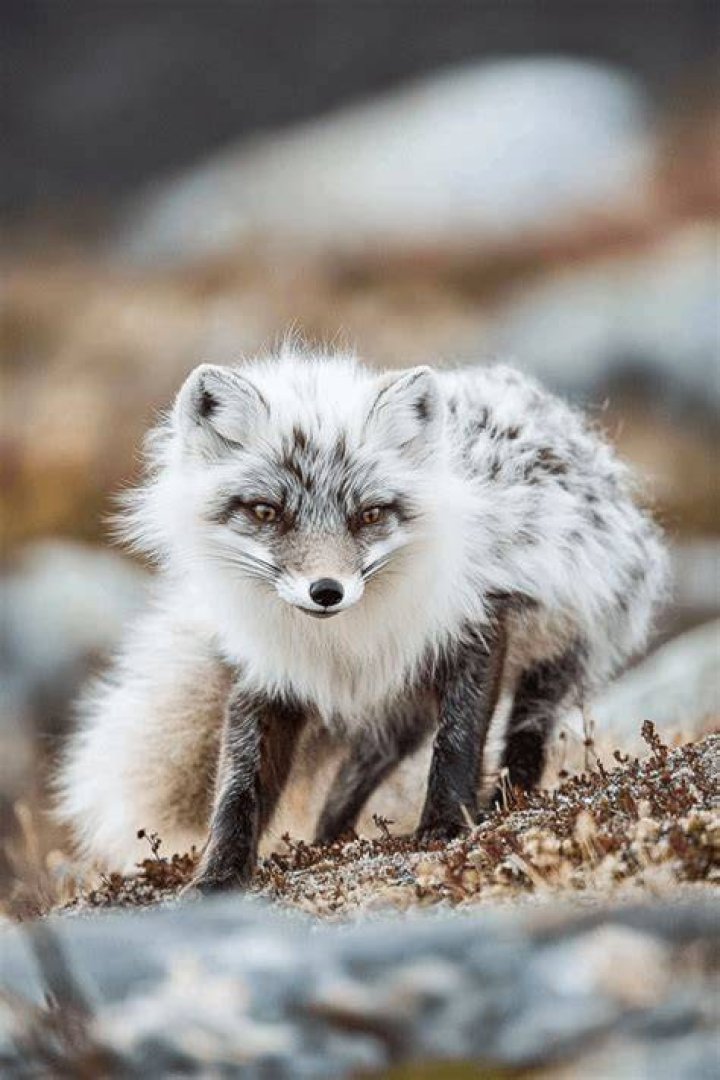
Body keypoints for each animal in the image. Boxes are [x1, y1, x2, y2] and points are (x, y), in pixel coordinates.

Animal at [55, 348, 668, 892]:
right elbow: (238, 789)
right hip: (397, 718)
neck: (342, 643)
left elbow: (458, 745)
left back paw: (506, 801)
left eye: (370, 514)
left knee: (525, 740)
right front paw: (217, 877)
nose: (326, 591)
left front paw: (444, 826)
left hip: (545, 669)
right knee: (347, 782)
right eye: (266, 511)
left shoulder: (475, 629)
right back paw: (330, 843)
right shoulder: (267, 671)